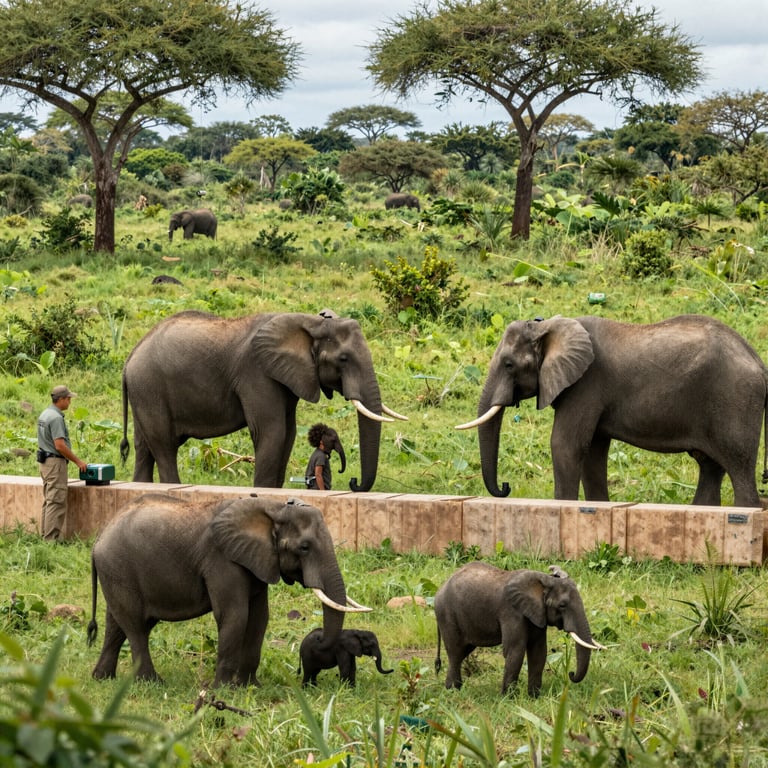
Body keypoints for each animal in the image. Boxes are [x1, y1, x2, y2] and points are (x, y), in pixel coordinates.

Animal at [86, 493, 370, 686]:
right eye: (304, 548)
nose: (318, 639)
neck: (273, 507)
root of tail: (98, 538)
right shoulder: (222, 560)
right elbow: (235, 615)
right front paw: (223, 690)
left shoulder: (257, 562)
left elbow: (259, 618)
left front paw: (250, 687)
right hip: (119, 568)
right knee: (135, 626)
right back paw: (152, 683)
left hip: (117, 575)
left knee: (117, 625)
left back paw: (102, 678)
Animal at [119, 310, 407, 490]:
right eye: (344, 359)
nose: (353, 482)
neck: (311, 322)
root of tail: (130, 357)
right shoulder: (256, 374)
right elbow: (273, 432)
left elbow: (288, 433)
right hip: (149, 388)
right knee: (164, 445)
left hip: (144, 393)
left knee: (144, 446)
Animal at [434, 562, 602, 696]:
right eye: (562, 605)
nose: (571, 673)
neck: (543, 583)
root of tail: (439, 589)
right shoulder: (512, 612)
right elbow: (515, 650)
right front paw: (508, 699)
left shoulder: (537, 614)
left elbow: (539, 651)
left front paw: (534, 697)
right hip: (446, 615)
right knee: (455, 652)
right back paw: (453, 691)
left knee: (463, 651)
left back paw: (453, 689)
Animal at [457, 314, 768, 506]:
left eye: (509, 365)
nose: (505, 488)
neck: (548, 326)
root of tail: (759, 363)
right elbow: (593, 451)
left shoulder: (586, 384)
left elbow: (566, 445)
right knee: (710, 466)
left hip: (735, 401)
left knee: (738, 467)